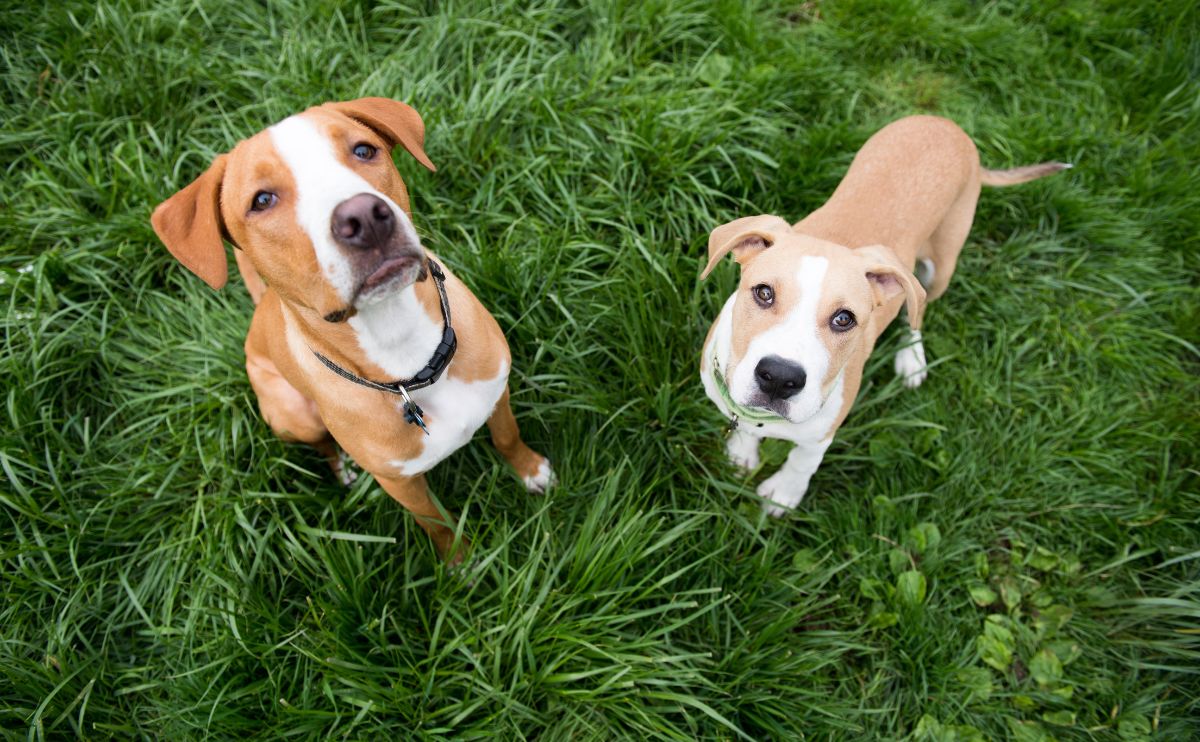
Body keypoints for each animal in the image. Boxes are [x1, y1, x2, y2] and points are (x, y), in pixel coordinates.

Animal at [151, 99, 556, 559]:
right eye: (263, 200)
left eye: (364, 150)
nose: (364, 216)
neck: (404, 350)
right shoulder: (400, 483)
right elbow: (437, 524)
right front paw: (461, 563)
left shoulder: (496, 390)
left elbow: (507, 438)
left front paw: (531, 471)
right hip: (291, 416)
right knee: (322, 443)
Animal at [700, 114, 1065, 513]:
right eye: (764, 293)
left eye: (844, 319)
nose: (780, 378)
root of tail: (945, 122)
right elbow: (742, 424)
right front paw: (741, 452)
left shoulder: (823, 433)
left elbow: (801, 461)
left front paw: (783, 493)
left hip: (940, 266)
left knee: (917, 313)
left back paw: (912, 359)